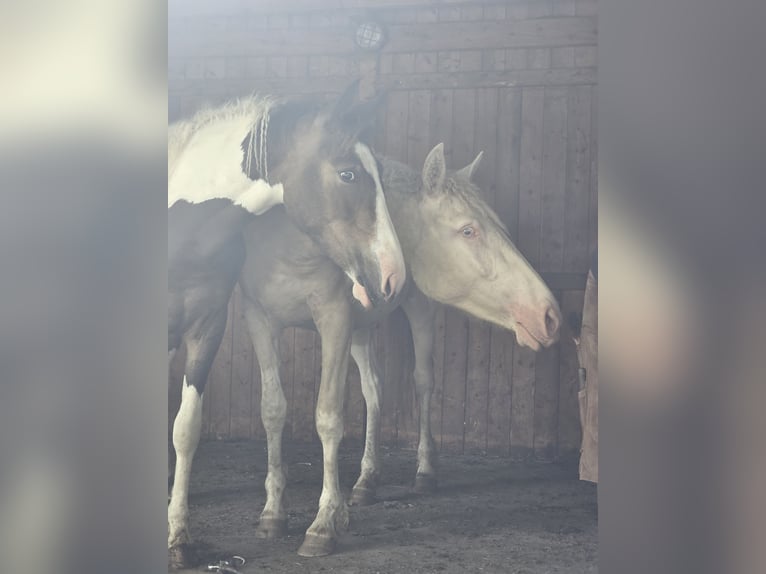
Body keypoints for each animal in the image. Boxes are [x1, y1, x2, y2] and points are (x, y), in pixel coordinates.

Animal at [236, 142, 562, 556]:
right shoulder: (260, 320)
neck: (294, 247)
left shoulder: (335, 321)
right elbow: (273, 411)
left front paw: (324, 523)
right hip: (360, 328)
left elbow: (328, 417)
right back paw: (366, 481)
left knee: (422, 382)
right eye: (468, 229)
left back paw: (424, 472)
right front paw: (273, 513)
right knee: (373, 389)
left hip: (417, 311)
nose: (548, 315)